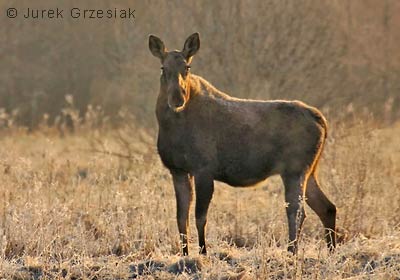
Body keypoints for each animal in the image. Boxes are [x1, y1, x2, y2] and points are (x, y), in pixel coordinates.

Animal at [148, 31, 336, 255]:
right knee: (327, 207)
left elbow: (200, 217)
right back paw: (331, 251)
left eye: (187, 67)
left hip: (295, 169)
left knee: (297, 212)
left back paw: (292, 253)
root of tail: (322, 121)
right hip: (309, 170)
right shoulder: (177, 170)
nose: (177, 98)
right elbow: (181, 219)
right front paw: (185, 255)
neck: (172, 128)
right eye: (163, 68)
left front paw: (203, 253)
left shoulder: (204, 168)